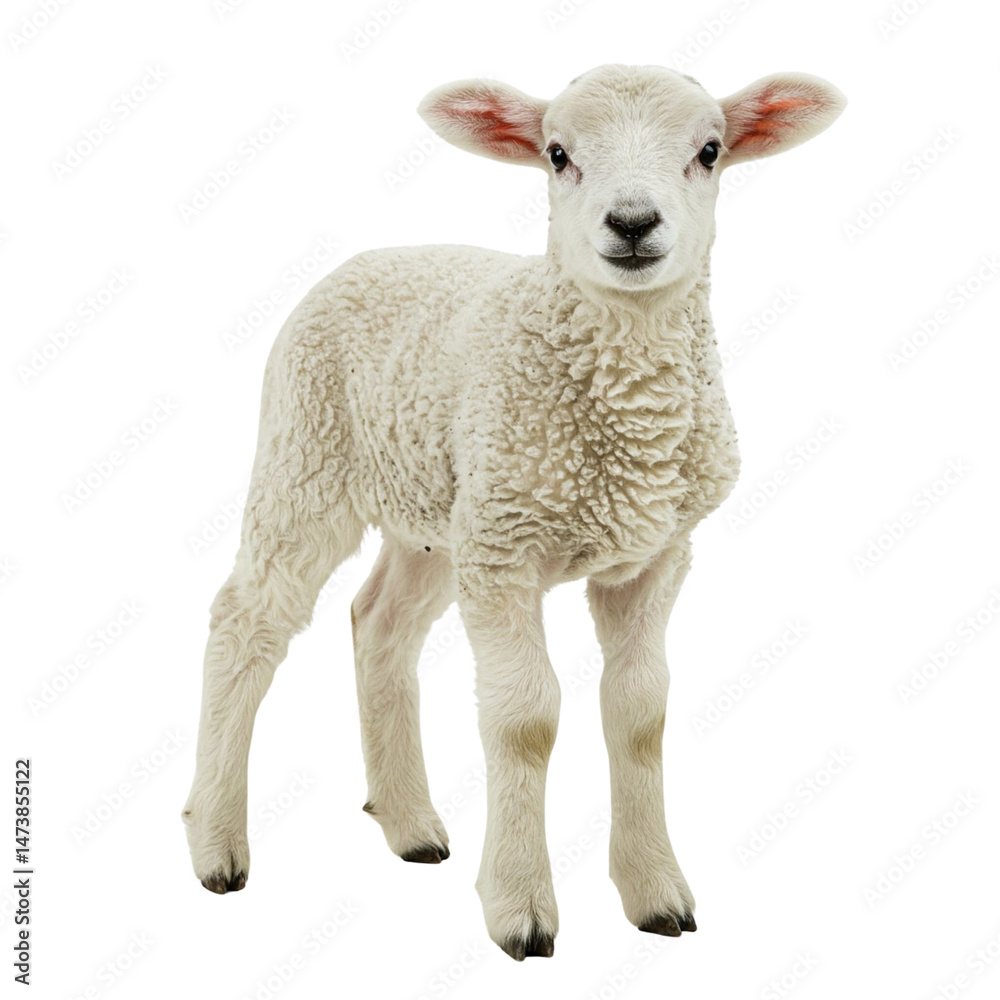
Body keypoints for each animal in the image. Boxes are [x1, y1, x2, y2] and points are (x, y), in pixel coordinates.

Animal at [182, 63, 845, 960]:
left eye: (710, 150)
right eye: (557, 153)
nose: (631, 223)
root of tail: (373, 255)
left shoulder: (654, 555)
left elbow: (640, 713)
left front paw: (655, 894)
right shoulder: (507, 552)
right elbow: (526, 718)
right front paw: (521, 907)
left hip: (440, 513)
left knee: (378, 623)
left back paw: (410, 824)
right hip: (309, 456)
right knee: (245, 620)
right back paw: (216, 842)